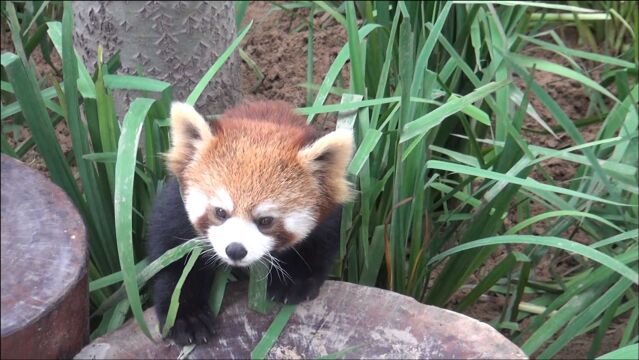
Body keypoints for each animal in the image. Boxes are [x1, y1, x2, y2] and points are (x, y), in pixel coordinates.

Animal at [147, 100, 356, 344]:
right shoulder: (176, 206)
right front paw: (186, 315)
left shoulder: (328, 214)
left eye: (265, 220)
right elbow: (173, 259)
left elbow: (320, 242)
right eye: (220, 212)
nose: (235, 250)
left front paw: (293, 280)